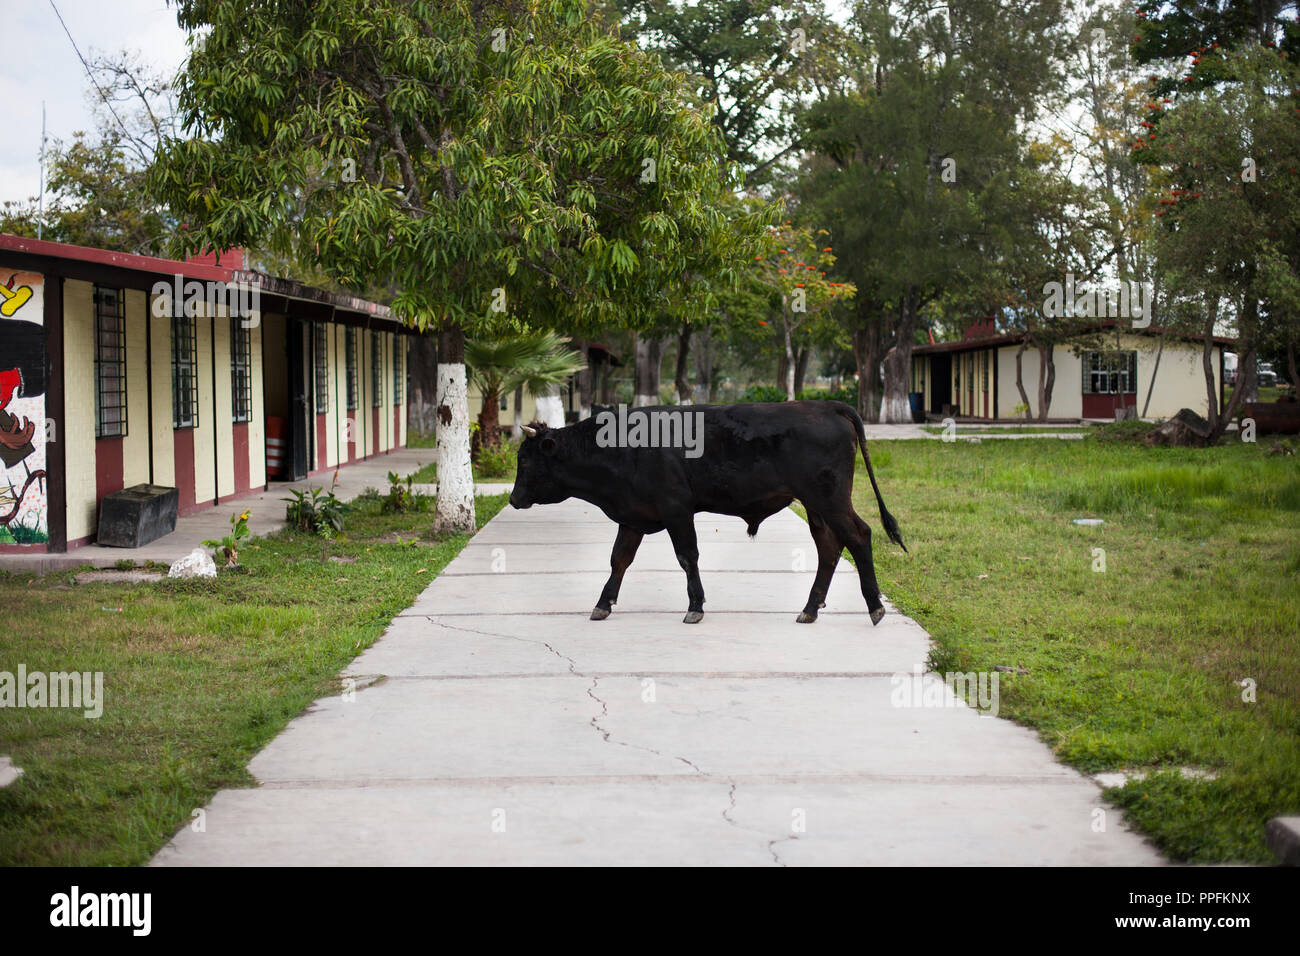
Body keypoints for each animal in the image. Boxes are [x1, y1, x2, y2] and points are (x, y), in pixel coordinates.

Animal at [501, 400, 909, 624]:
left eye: (526, 460)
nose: (514, 498)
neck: (621, 448)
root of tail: (824, 405)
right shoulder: (633, 516)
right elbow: (619, 559)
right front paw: (603, 603)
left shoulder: (676, 509)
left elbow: (687, 556)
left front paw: (695, 605)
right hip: (816, 505)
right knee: (829, 547)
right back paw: (810, 608)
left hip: (829, 498)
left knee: (858, 535)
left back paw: (874, 606)